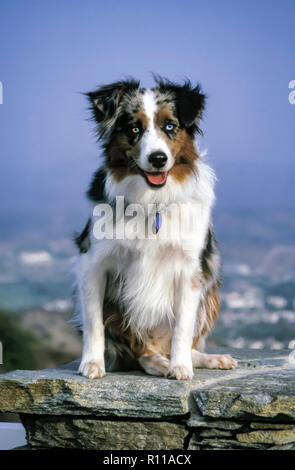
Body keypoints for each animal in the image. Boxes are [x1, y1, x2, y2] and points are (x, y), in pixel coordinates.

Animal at [74, 75, 238, 380]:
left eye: (170, 126)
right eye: (134, 128)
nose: (158, 158)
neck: (152, 202)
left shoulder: (191, 269)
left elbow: (183, 327)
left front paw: (181, 367)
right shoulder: (93, 263)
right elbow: (93, 322)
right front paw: (92, 363)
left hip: (212, 292)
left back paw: (203, 359)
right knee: (140, 350)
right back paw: (158, 363)